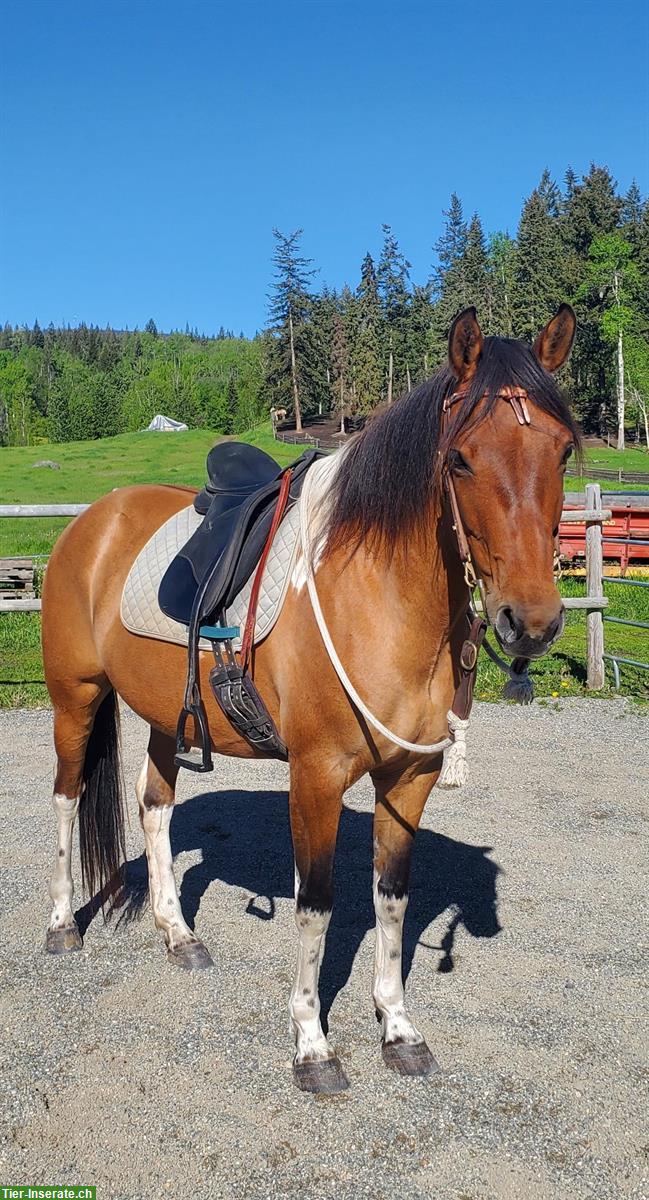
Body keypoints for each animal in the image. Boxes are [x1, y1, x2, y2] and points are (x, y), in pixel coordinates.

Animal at [41, 302, 575, 1099]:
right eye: (459, 459)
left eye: (565, 452)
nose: (530, 621)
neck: (379, 596)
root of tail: (92, 519)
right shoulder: (316, 776)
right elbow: (317, 906)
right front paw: (312, 1045)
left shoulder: (409, 778)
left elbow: (391, 897)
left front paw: (397, 1027)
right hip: (74, 700)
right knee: (68, 799)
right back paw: (59, 926)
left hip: (167, 715)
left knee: (154, 805)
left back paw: (178, 934)